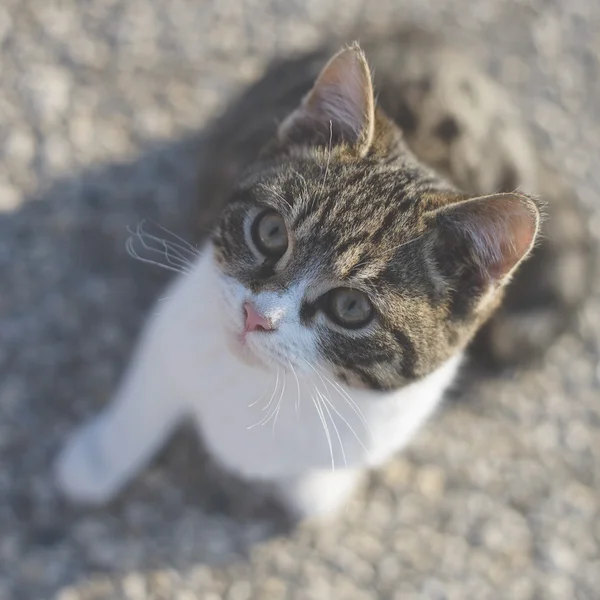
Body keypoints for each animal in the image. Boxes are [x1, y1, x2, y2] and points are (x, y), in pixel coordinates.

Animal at [55, 28, 592, 516]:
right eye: (270, 231)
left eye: (351, 307)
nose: (256, 316)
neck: (273, 385)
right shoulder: (183, 314)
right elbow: (145, 399)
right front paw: (97, 462)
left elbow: (314, 490)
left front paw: (318, 489)